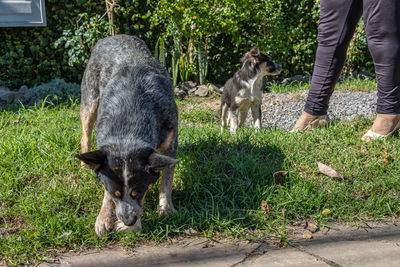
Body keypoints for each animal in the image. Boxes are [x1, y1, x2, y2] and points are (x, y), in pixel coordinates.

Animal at [76, 34, 178, 238]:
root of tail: (112, 36)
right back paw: (85, 166)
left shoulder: (171, 138)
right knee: (85, 134)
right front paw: (104, 218)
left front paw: (165, 210)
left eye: (137, 192)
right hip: (90, 99)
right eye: (115, 193)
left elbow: (167, 179)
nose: (128, 220)